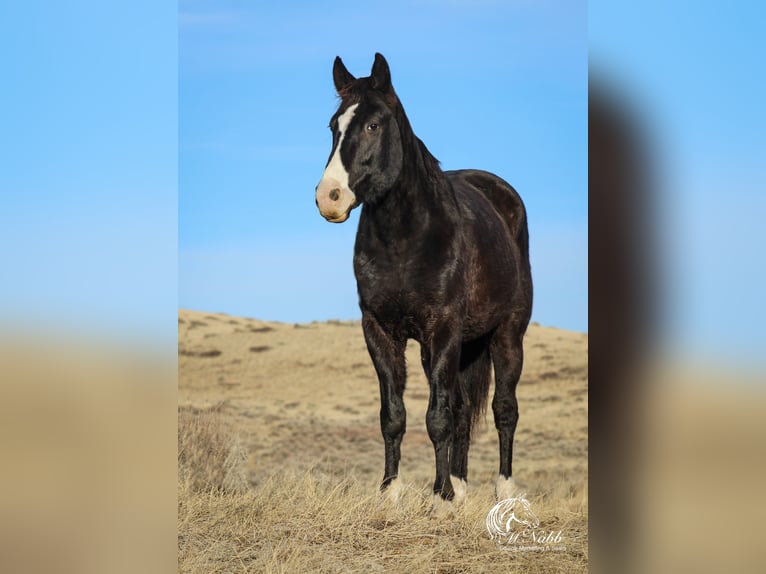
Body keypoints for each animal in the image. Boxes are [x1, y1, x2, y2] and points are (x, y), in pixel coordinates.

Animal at [318, 53, 536, 512]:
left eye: (373, 125)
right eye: (333, 126)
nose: (328, 197)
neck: (407, 238)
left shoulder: (443, 329)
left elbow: (437, 417)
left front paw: (440, 498)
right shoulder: (381, 331)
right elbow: (394, 416)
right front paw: (392, 492)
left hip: (506, 334)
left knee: (504, 409)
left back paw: (503, 491)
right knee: (461, 409)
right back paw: (461, 485)